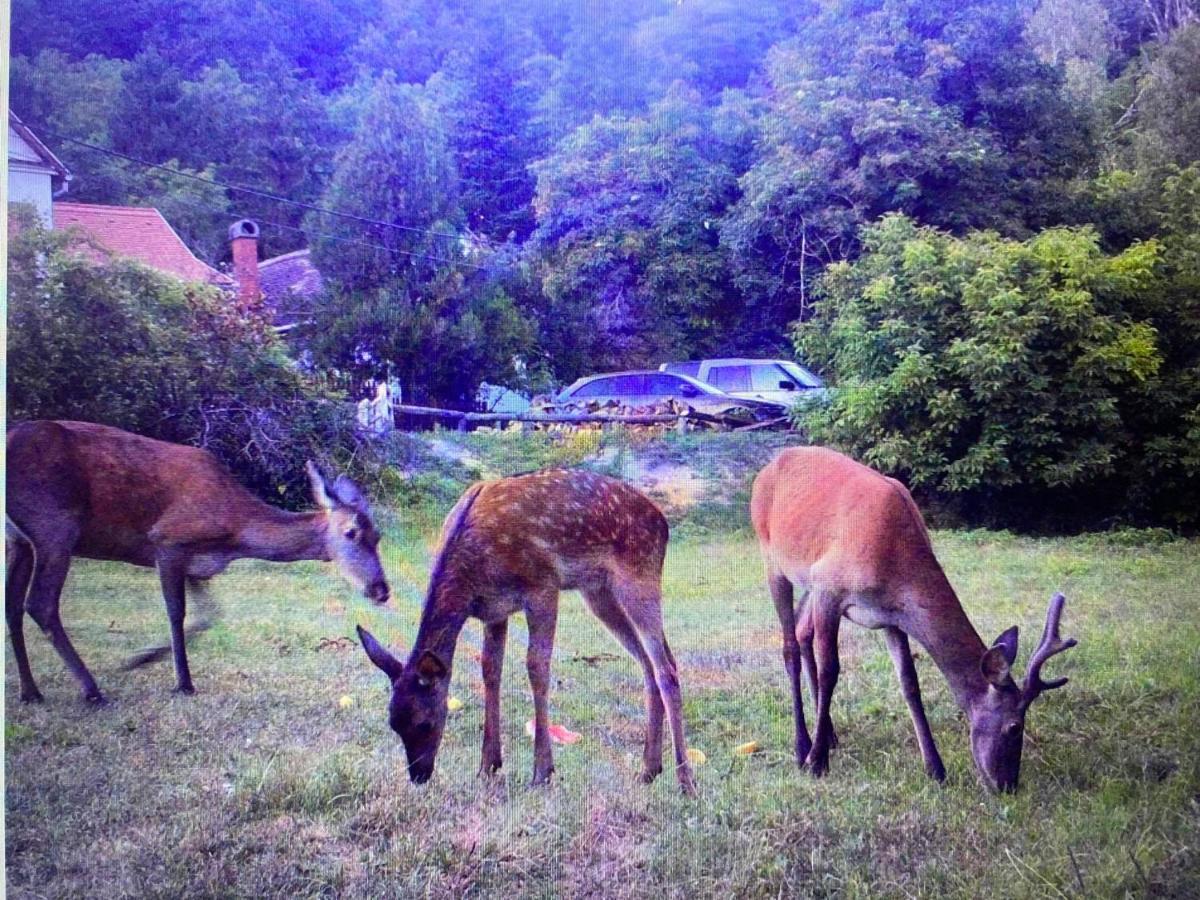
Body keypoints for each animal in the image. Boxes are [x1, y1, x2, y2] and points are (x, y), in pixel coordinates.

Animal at [5, 420, 388, 710]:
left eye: (379, 536)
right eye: (351, 532)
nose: (381, 589)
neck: (233, 530)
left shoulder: (197, 563)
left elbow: (210, 614)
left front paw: (142, 659)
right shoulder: (168, 541)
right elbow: (176, 612)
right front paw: (183, 682)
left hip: (20, 540)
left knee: (12, 605)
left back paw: (31, 691)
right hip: (55, 524)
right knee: (40, 603)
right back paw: (91, 690)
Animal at [355, 472, 696, 796]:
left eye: (425, 723)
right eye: (394, 725)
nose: (419, 775)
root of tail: (663, 523)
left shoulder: (543, 586)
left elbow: (536, 668)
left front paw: (542, 772)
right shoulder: (494, 610)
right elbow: (490, 671)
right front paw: (488, 766)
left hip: (640, 574)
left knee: (666, 668)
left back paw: (686, 781)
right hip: (598, 591)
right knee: (649, 664)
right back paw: (649, 770)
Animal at [748, 448, 1080, 792]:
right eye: (1014, 727)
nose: (1007, 785)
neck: (893, 559)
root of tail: (768, 467)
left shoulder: (890, 616)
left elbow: (909, 682)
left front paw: (935, 767)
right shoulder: (830, 586)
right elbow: (831, 672)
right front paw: (817, 762)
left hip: (808, 582)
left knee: (802, 630)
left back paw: (829, 734)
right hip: (773, 557)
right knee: (789, 646)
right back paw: (803, 746)